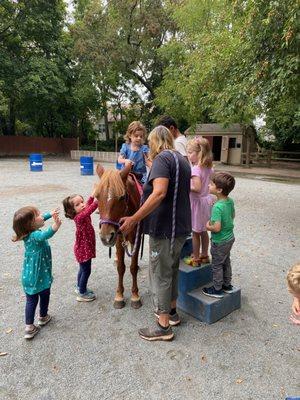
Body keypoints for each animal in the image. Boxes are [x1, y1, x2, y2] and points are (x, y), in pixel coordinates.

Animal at [96, 162, 143, 310]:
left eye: (122, 197)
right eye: (97, 197)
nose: (105, 237)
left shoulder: (136, 239)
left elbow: (133, 267)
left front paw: (135, 295)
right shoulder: (117, 239)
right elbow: (121, 268)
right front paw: (119, 295)